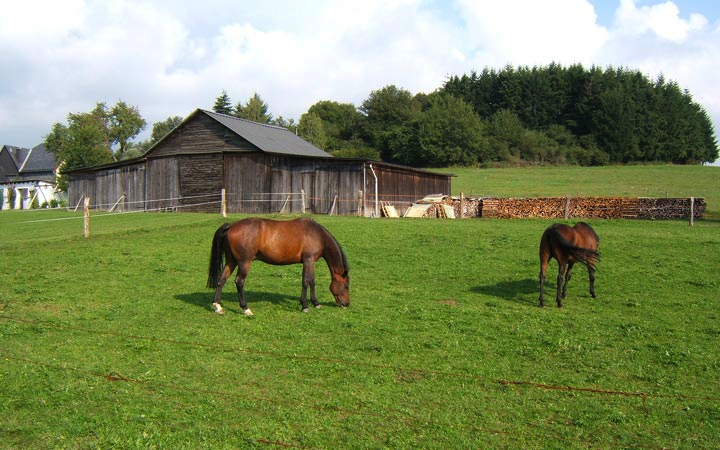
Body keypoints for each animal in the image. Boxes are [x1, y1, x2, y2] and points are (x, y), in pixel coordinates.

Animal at [207, 217, 350, 316]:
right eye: (346, 286)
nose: (347, 304)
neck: (318, 235)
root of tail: (231, 225)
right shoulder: (308, 260)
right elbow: (306, 282)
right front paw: (305, 305)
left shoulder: (311, 262)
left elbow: (312, 282)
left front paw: (316, 303)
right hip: (244, 262)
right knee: (239, 282)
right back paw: (246, 309)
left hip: (231, 261)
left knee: (221, 279)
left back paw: (218, 307)